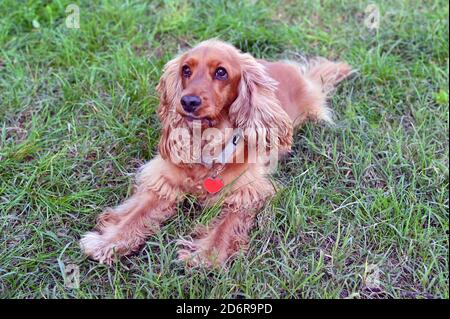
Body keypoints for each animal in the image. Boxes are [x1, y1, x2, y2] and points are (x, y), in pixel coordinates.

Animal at [82, 38, 354, 266]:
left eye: (221, 72)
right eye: (186, 70)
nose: (188, 102)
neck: (207, 146)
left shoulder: (248, 192)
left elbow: (225, 227)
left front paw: (205, 256)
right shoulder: (162, 181)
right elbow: (135, 215)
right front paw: (109, 242)